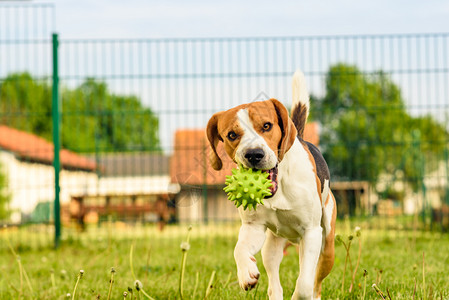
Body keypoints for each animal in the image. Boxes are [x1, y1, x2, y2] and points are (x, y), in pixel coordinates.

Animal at [205, 71, 334, 300]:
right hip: (271, 247)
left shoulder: (311, 232)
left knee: (315, 282)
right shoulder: (253, 227)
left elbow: (304, 286)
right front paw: (246, 273)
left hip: (326, 244)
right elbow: (239, 249)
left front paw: (299, 295)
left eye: (266, 126)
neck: (278, 190)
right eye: (231, 135)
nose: (254, 154)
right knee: (274, 280)